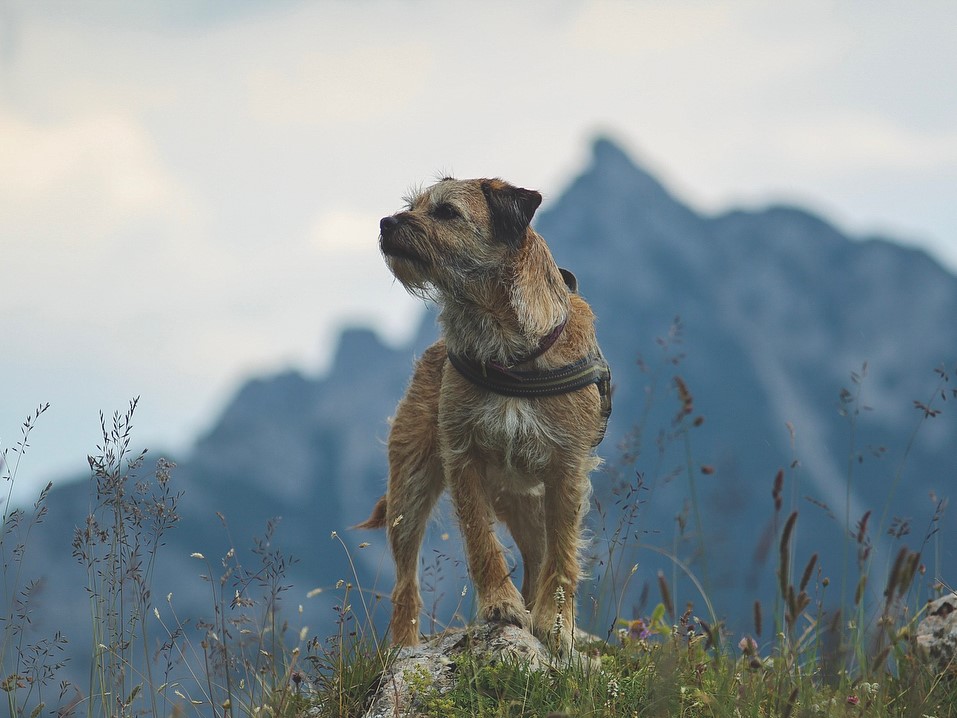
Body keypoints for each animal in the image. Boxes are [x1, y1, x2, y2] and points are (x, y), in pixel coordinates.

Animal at [354, 177, 608, 656]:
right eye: (411, 206)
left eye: (447, 212)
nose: (385, 222)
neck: (507, 345)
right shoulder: (462, 456)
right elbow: (480, 540)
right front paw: (501, 605)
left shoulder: (567, 469)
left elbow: (563, 552)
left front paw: (556, 625)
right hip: (409, 489)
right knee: (404, 585)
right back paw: (404, 646)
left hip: (527, 500)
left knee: (539, 554)